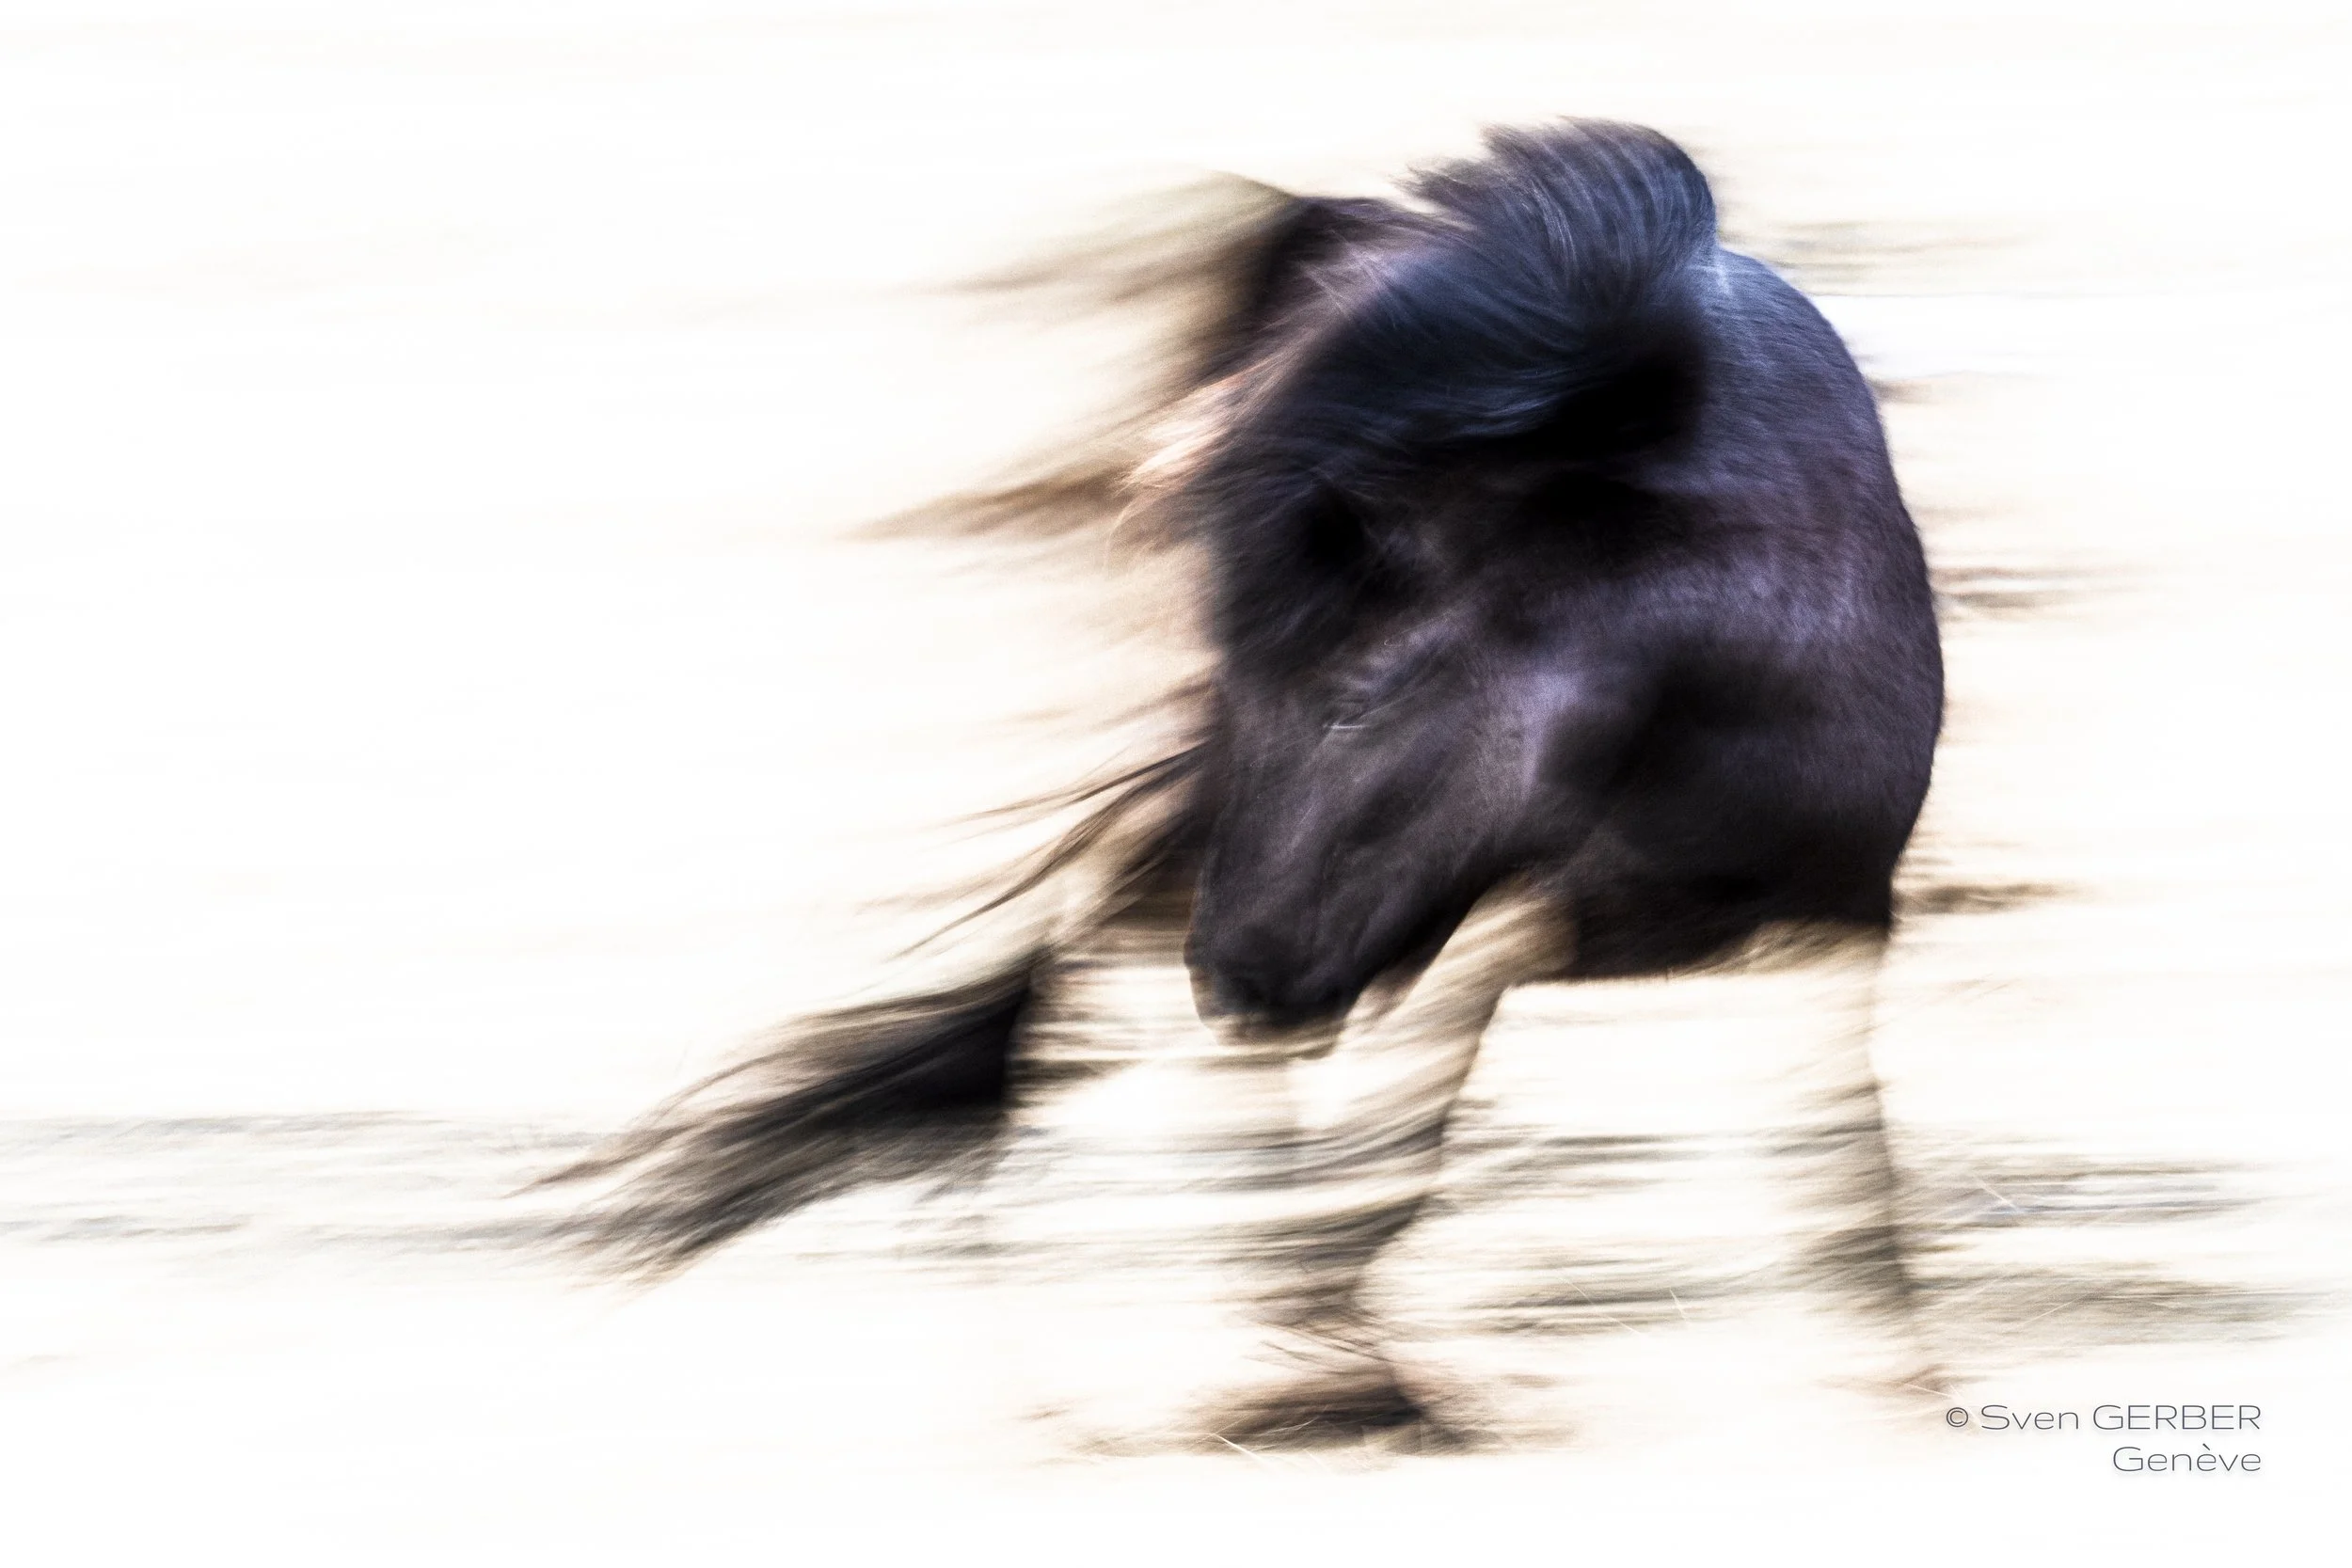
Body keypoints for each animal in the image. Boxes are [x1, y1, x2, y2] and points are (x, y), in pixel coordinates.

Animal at [545, 120, 1946, 1446]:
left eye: (1364, 692)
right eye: (1242, 677)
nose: (1238, 978)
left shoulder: (1834, 909)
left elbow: (1850, 1172)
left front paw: (1905, 1379)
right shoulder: (1490, 906)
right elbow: (1391, 1156)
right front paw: (1329, 1363)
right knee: (1084, 1017)